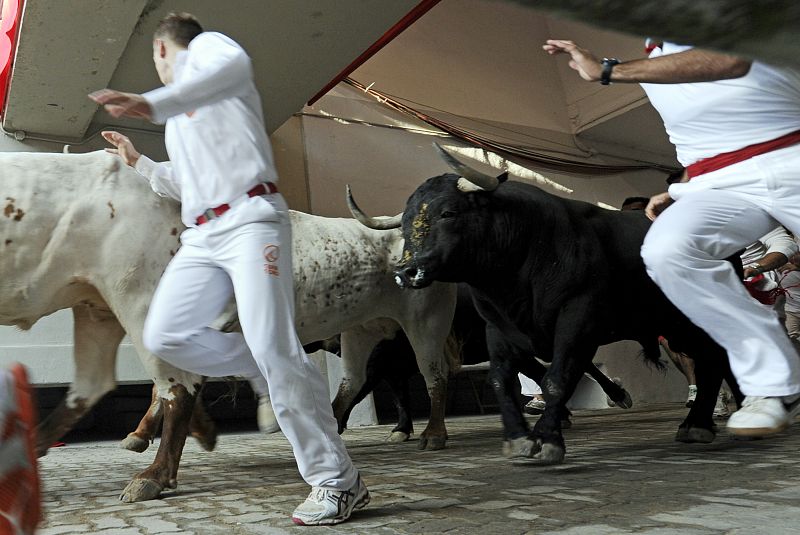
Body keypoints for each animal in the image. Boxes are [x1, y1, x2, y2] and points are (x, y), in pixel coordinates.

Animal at [350, 149, 744, 466]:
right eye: (404, 224)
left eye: (448, 211)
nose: (406, 271)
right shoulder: (499, 328)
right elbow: (502, 380)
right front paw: (517, 438)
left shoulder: (577, 319)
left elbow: (558, 378)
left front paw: (547, 438)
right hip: (675, 329)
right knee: (715, 361)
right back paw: (713, 417)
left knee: (717, 359)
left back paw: (702, 421)